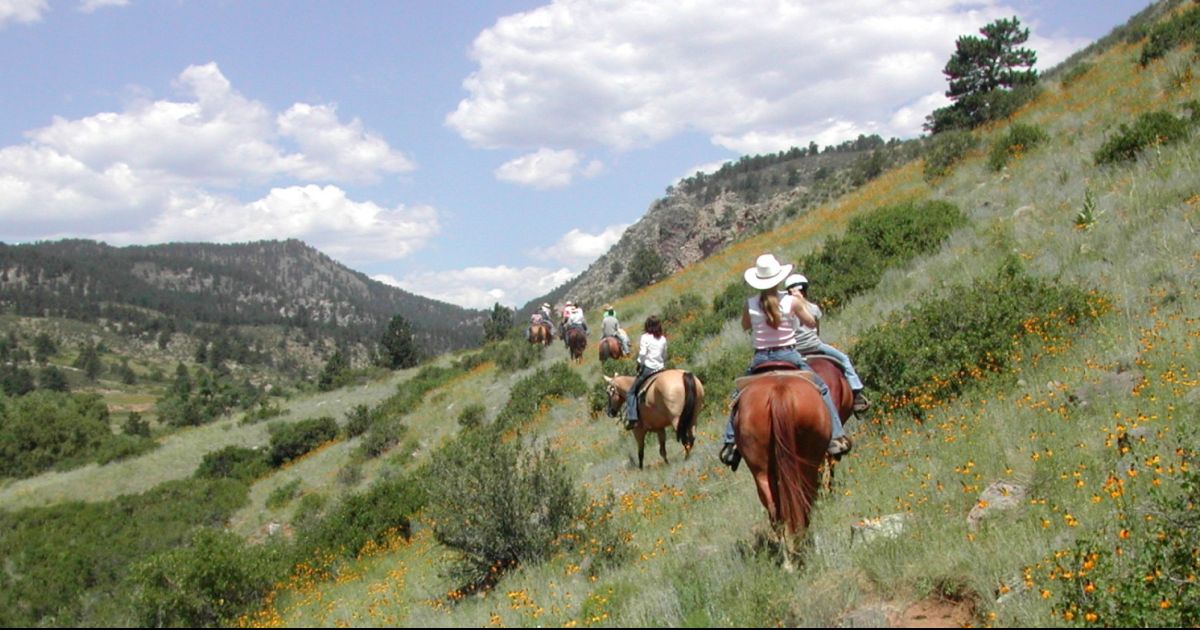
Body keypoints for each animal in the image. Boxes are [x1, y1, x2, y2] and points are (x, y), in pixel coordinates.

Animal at [729, 362, 835, 564]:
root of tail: (778, 392)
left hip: (761, 470)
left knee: (775, 509)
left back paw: (788, 557)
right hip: (808, 462)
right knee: (804, 498)